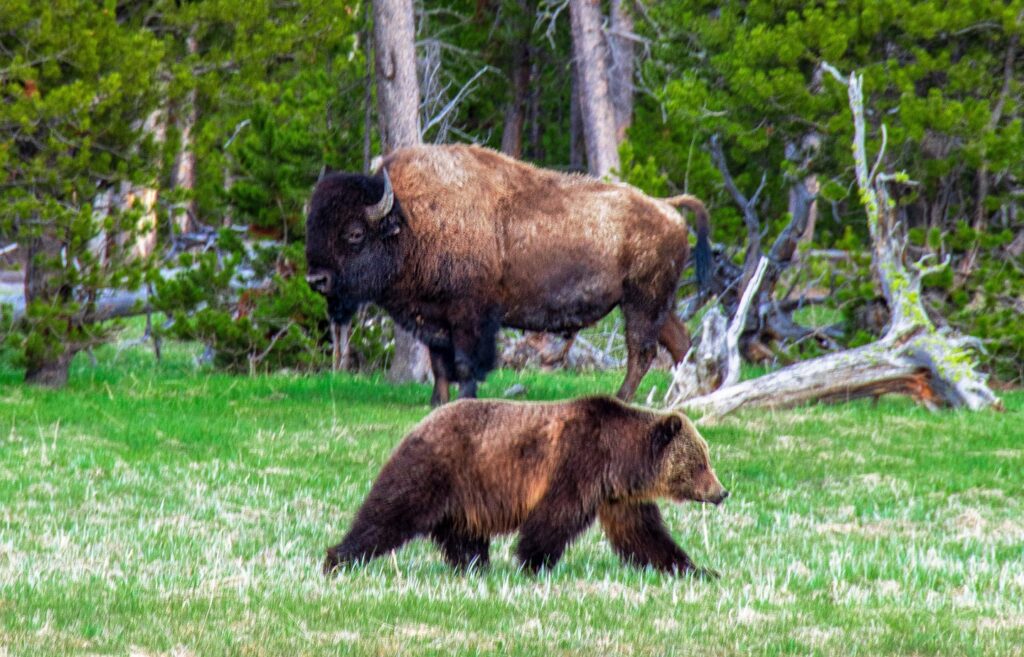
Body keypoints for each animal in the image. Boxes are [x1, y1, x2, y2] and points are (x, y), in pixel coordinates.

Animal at [322, 396, 728, 577]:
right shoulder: (578, 462)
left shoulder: (619, 496)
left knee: (462, 534)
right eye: (701, 463)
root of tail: (421, 422)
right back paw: (338, 558)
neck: (621, 458)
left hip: (465, 493)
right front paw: (534, 563)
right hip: (438, 467)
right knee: (389, 513)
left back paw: (474, 567)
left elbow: (644, 535)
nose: (722, 492)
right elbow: (554, 517)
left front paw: (696, 569)